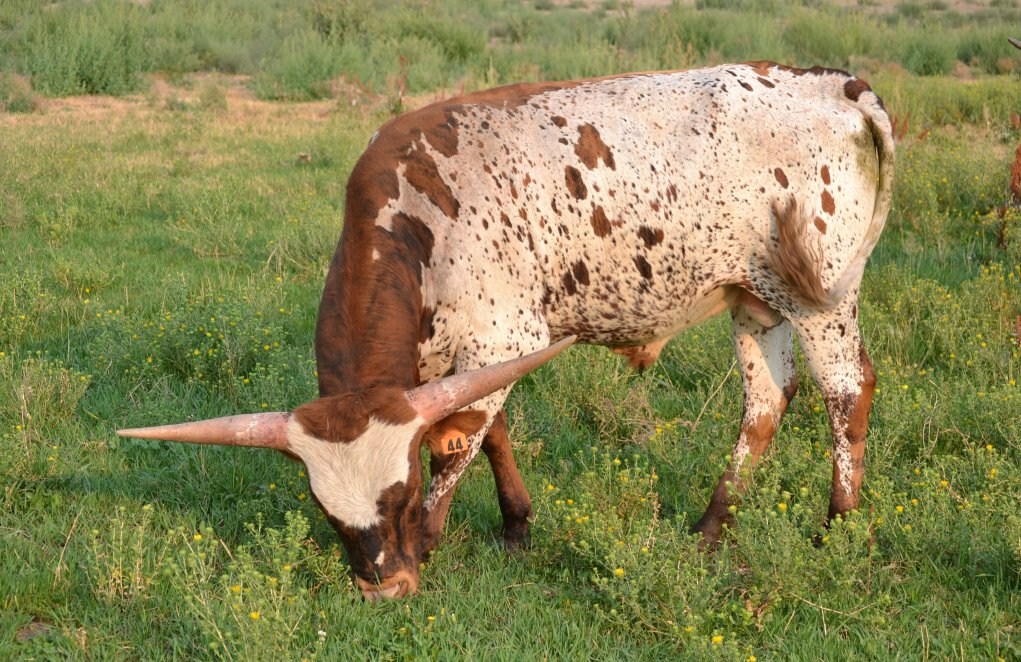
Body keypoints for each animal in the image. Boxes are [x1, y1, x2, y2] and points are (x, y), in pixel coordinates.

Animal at [119, 62, 895, 601]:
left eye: (401, 495)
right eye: (327, 512)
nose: (384, 588)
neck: (417, 217)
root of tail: (836, 85)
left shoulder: (506, 340)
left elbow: (459, 443)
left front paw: (433, 543)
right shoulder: (460, 358)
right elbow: (490, 432)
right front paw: (517, 527)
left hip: (820, 297)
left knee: (846, 391)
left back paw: (837, 528)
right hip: (756, 299)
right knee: (765, 401)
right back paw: (710, 530)